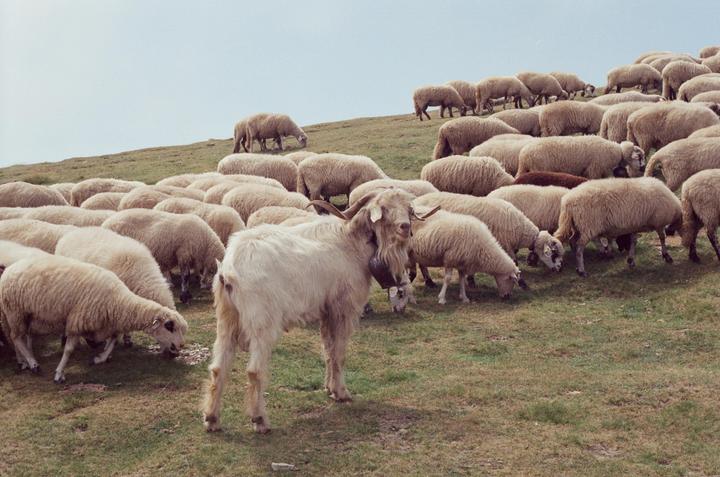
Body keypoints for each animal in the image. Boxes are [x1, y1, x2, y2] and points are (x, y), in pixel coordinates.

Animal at [0, 255, 187, 382]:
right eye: (169, 326)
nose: (180, 346)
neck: (119, 301)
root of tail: (9, 269)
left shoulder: (108, 323)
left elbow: (113, 340)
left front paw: (100, 358)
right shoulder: (77, 321)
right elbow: (69, 350)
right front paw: (59, 373)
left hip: (26, 315)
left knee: (22, 337)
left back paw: (25, 360)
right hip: (14, 312)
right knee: (16, 337)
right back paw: (33, 363)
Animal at [202, 189, 424, 433]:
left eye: (408, 208)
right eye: (383, 208)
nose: (404, 226)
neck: (351, 242)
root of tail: (229, 270)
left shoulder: (326, 312)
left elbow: (327, 350)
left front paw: (329, 388)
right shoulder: (343, 309)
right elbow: (339, 353)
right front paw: (342, 393)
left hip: (227, 319)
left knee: (218, 368)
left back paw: (212, 418)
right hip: (262, 323)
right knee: (254, 370)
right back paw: (260, 420)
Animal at [414, 192, 563, 271]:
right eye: (554, 254)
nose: (560, 269)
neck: (520, 230)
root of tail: (417, 200)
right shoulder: (504, 244)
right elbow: (513, 261)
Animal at [517, 136, 646, 179]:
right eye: (639, 157)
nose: (644, 168)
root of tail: (524, 155)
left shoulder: (604, 169)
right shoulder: (596, 168)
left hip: (524, 169)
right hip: (538, 167)